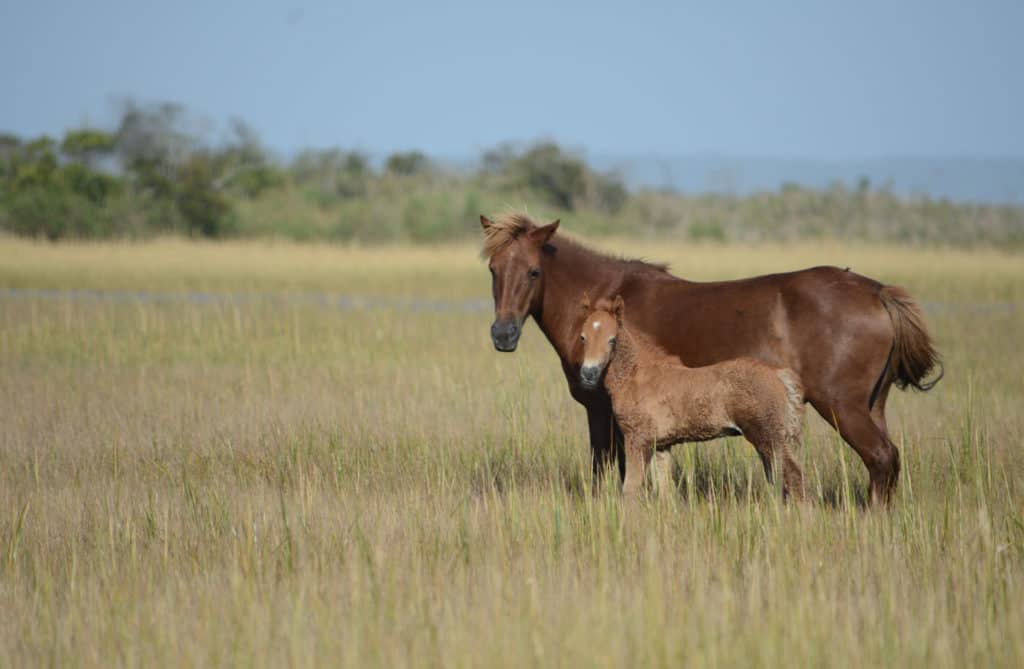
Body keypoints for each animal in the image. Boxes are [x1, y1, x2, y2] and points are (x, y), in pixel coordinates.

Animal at [577, 294, 806, 500]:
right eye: (583, 337)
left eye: (612, 340)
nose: (588, 374)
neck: (636, 375)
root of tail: (777, 374)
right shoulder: (661, 446)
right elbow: (665, 492)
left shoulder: (637, 439)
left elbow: (630, 490)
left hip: (769, 436)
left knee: (794, 475)